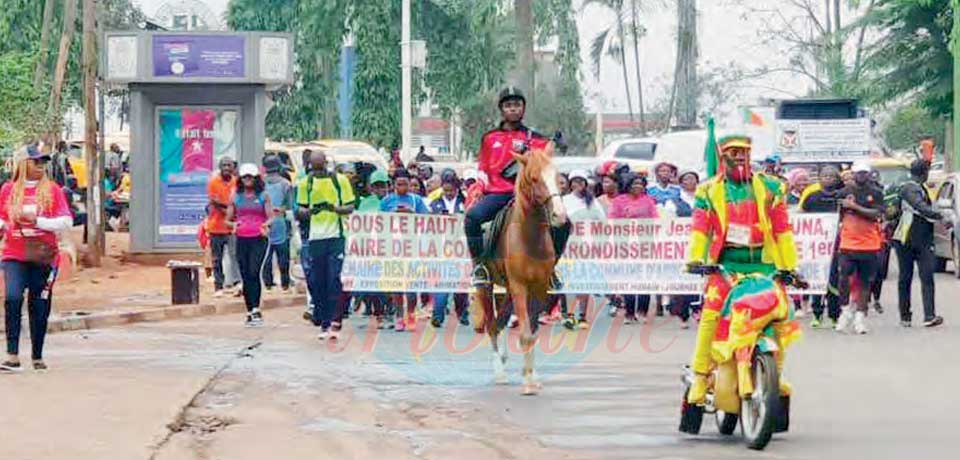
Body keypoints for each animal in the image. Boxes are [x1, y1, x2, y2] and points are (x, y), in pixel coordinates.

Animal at [474, 144, 568, 396]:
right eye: (534, 178)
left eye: (558, 177)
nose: (560, 216)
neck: (530, 236)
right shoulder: (519, 286)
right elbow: (525, 334)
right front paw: (527, 384)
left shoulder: (539, 287)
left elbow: (532, 333)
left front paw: (531, 376)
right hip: (486, 287)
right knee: (491, 325)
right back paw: (499, 371)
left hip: (507, 289)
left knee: (500, 321)